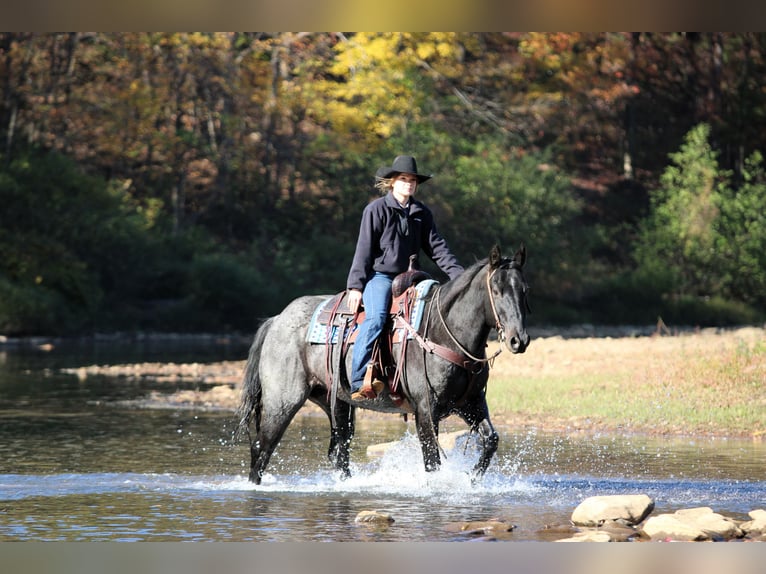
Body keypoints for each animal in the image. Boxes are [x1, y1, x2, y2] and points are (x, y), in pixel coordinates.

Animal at [236, 244, 530, 484]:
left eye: (524, 290)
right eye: (496, 290)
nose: (519, 340)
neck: (441, 331)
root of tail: (277, 320)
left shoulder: (470, 403)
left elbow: (491, 440)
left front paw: (471, 478)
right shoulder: (426, 410)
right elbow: (432, 460)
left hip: (336, 403)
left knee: (338, 452)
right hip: (283, 402)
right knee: (262, 448)